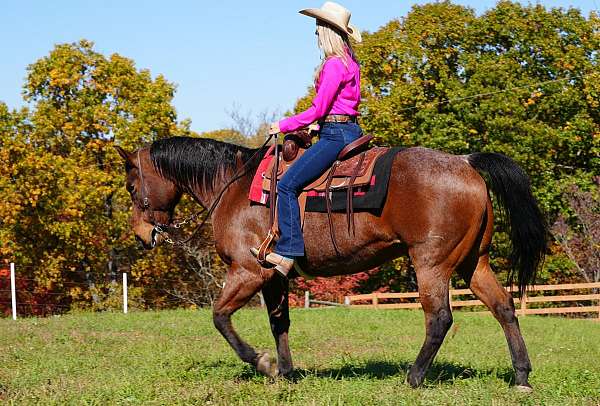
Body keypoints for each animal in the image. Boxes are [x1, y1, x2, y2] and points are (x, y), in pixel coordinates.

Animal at [113, 136, 548, 390]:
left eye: (132, 186)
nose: (142, 234)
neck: (235, 187)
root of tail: (466, 162)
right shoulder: (275, 276)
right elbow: (279, 323)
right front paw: (287, 374)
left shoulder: (249, 271)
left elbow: (219, 317)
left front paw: (264, 364)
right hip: (474, 262)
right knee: (503, 307)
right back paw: (521, 376)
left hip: (432, 264)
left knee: (440, 318)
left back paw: (413, 377)